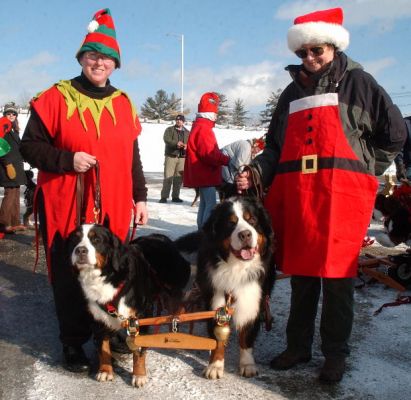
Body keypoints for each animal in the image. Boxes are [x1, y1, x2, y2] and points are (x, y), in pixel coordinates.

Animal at [67, 223, 192, 386]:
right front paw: (105, 371)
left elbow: (138, 351)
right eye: (75, 239)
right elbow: (103, 348)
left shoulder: (142, 315)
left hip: (172, 288)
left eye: (96, 240)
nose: (80, 250)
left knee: (179, 306)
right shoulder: (99, 318)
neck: (107, 277)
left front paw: (139, 376)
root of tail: (162, 237)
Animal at [177, 197, 276, 382]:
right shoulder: (216, 300)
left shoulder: (253, 300)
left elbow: (247, 336)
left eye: (252, 220)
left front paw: (247, 365)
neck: (237, 268)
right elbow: (218, 339)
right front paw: (215, 365)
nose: (245, 234)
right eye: (231, 223)